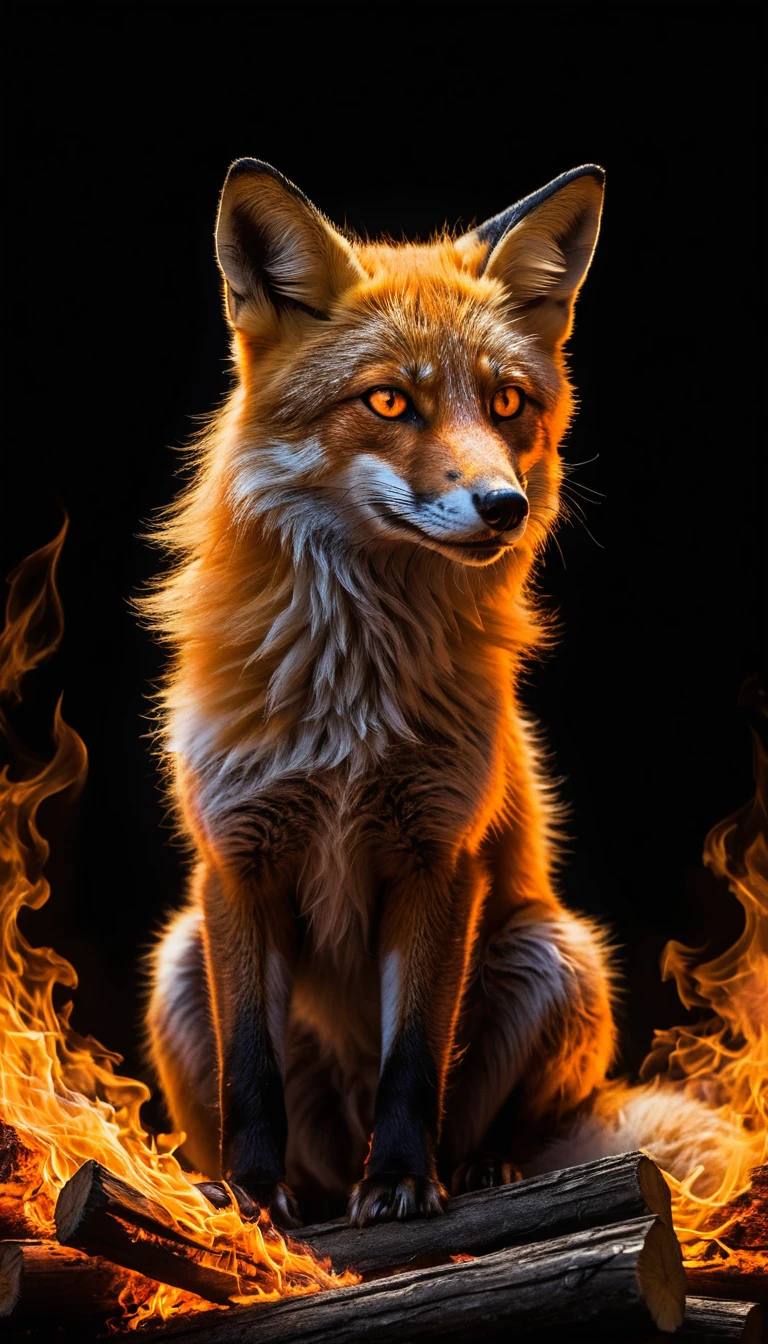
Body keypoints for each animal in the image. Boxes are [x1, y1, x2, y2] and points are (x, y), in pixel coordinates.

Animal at [143, 159, 620, 1229]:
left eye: (508, 402)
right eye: (391, 402)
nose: (503, 505)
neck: (348, 709)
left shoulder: (438, 854)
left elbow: (416, 1059)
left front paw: (402, 1178)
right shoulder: (238, 859)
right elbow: (252, 1073)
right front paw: (252, 1192)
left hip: (553, 951)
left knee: (487, 1118)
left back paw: (478, 1169)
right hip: (180, 957)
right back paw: (282, 1191)